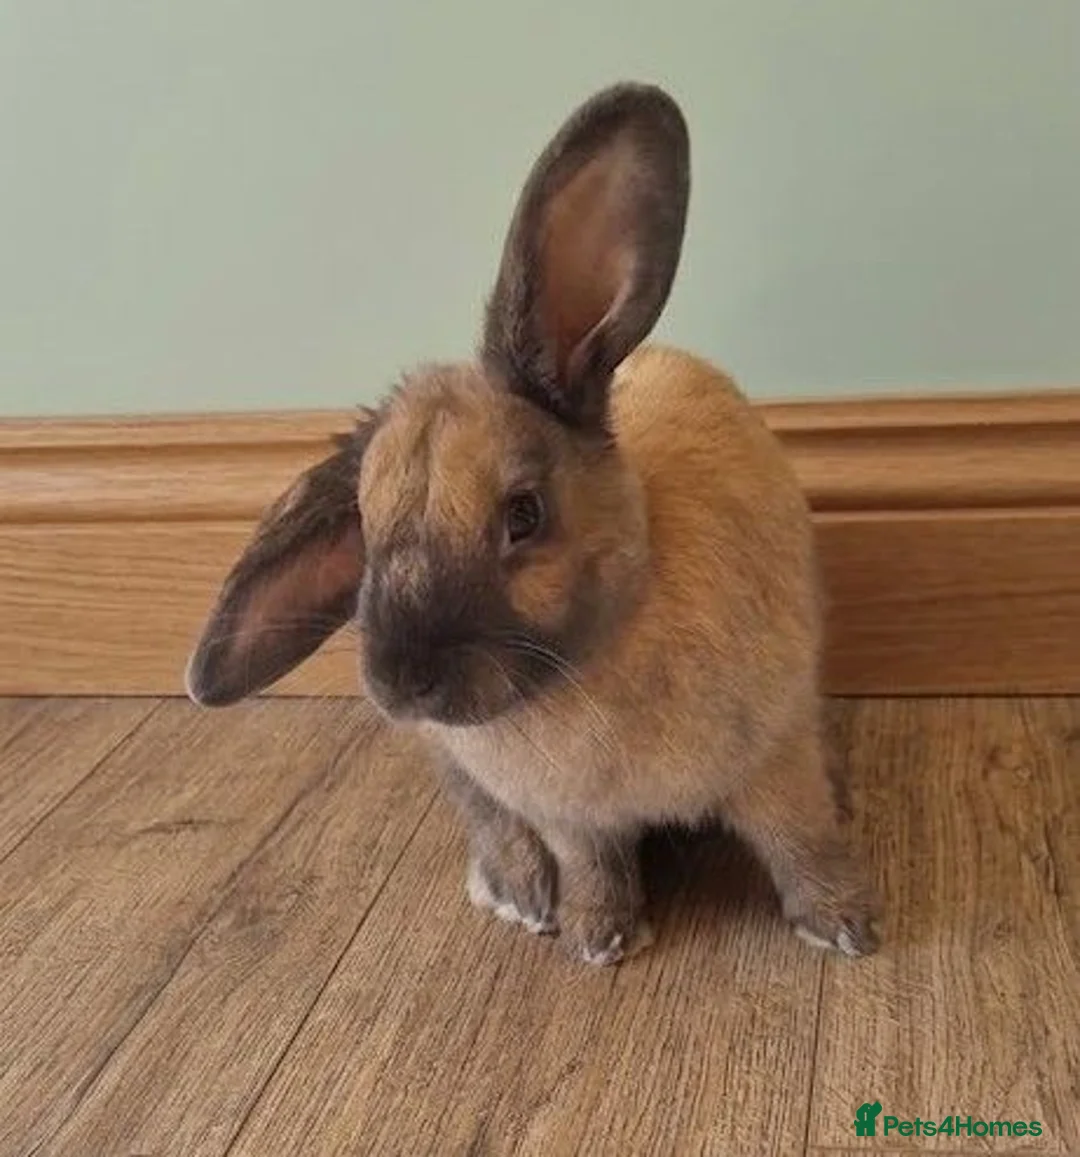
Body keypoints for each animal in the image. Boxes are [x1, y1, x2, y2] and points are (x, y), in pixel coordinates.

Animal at [185, 82, 880, 966]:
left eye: (523, 514)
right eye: (367, 534)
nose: (400, 680)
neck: (594, 655)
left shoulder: (775, 755)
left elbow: (800, 841)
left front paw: (847, 927)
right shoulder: (569, 818)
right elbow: (592, 863)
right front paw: (598, 937)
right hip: (454, 767)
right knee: (488, 820)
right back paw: (518, 894)